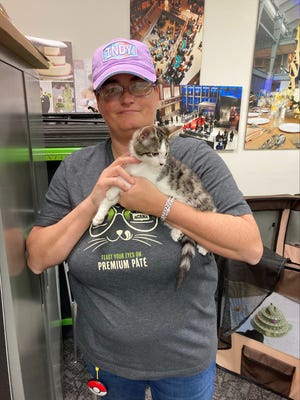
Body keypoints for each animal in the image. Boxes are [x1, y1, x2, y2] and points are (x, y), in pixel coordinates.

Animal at [92, 125, 217, 288]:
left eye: (166, 154)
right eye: (155, 153)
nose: (162, 163)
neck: (140, 164)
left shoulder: (148, 180)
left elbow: (128, 181)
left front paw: (112, 190)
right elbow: (111, 196)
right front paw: (100, 214)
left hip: (201, 200)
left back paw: (203, 246)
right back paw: (176, 232)